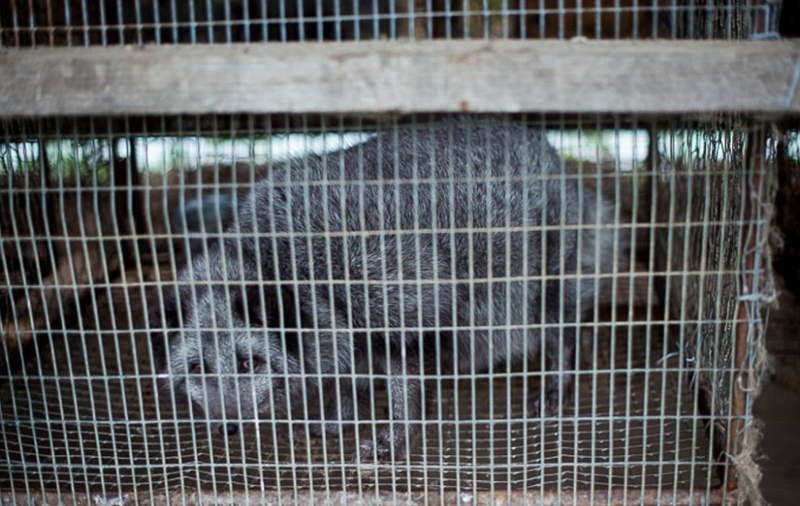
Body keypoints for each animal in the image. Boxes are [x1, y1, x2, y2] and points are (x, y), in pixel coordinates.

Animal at [150, 115, 624, 462]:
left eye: (249, 363)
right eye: (197, 369)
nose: (226, 426)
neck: (285, 259)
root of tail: (550, 153)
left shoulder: (398, 302)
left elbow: (402, 389)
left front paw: (396, 440)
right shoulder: (339, 327)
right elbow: (346, 378)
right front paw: (339, 421)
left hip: (542, 282)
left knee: (563, 331)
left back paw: (556, 385)